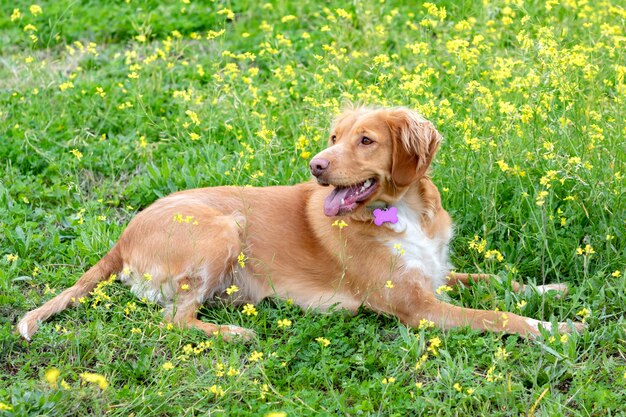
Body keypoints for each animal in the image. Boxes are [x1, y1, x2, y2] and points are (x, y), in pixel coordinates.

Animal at [15, 105, 580, 340]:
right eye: (333, 137)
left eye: (365, 140)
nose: (315, 165)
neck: (405, 211)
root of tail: (124, 233)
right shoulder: (417, 307)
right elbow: (501, 316)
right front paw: (557, 327)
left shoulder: (435, 275)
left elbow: (494, 278)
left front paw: (548, 289)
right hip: (223, 227)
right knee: (173, 319)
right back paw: (234, 333)